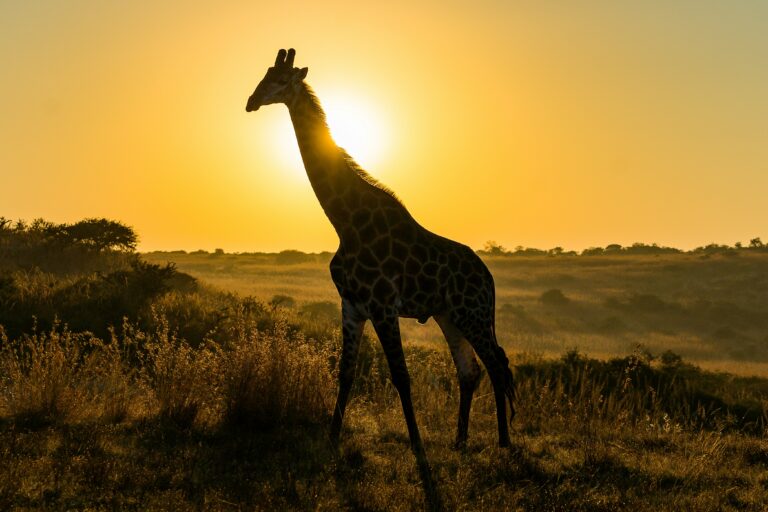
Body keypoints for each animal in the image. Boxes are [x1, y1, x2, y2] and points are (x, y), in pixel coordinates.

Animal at [246, 49, 515, 449]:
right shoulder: (352, 305)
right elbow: (345, 373)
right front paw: (332, 440)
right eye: (263, 76)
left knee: (497, 365)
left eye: (279, 81)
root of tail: (489, 279)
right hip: (449, 315)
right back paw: (460, 441)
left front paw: (418, 447)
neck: (345, 222)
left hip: (474, 314)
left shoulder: (383, 306)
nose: (250, 101)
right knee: (470, 371)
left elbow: (401, 376)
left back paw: (504, 443)